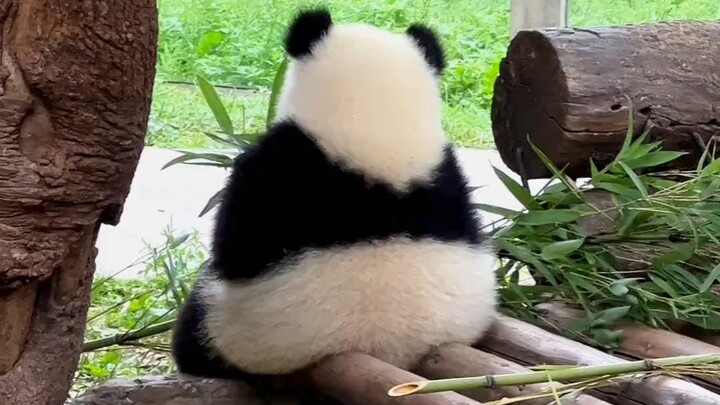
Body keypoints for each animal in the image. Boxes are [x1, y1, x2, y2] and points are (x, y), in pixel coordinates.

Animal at [171, 7, 498, 383]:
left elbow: (235, 248)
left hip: (232, 334)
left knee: (194, 331)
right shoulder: (450, 179)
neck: (376, 120)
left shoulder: (275, 174)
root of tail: (382, 352)